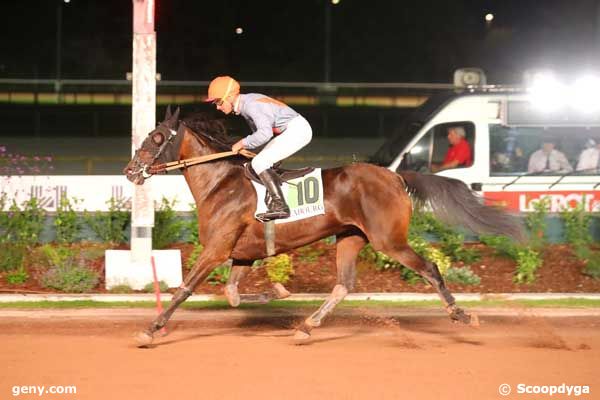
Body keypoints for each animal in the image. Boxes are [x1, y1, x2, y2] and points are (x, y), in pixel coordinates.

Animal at [124, 107, 524, 346]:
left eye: (156, 138)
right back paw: (306, 326)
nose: (130, 171)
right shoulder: (241, 254)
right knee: (343, 285)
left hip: (389, 241)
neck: (220, 182)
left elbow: (185, 289)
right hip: (350, 237)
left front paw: (150, 329)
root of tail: (395, 176)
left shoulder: (216, 250)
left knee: (430, 268)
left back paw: (461, 314)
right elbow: (233, 294)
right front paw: (278, 292)